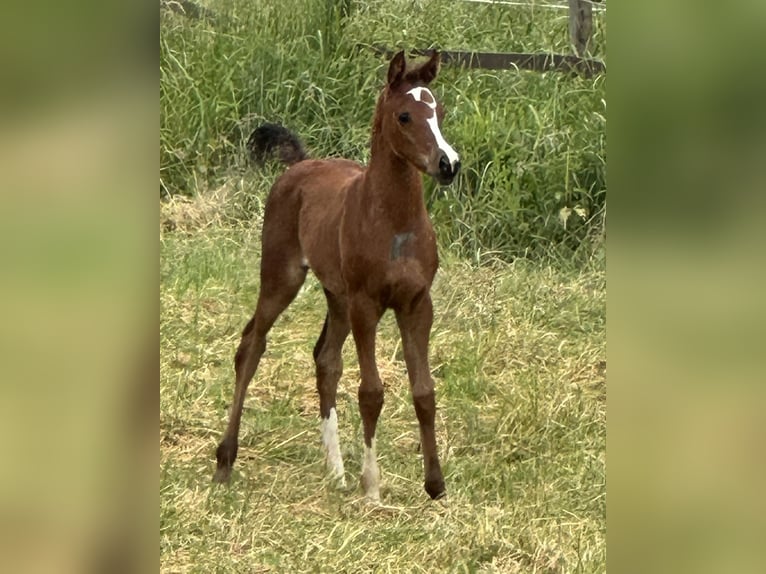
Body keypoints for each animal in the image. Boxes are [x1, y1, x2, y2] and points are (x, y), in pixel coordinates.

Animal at [213, 50, 460, 500]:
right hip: (283, 277)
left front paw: (435, 485)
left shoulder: (417, 303)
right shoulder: (367, 303)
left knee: (326, 359)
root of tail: (301, 163)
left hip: (337, 296)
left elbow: (424, 391)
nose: (448, 164)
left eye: (440, 111)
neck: (395, 224)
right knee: (251, 345)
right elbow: (371, 391)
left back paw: (336, 471)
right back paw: (225, 461)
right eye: (404, 116)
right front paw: (372, 488)